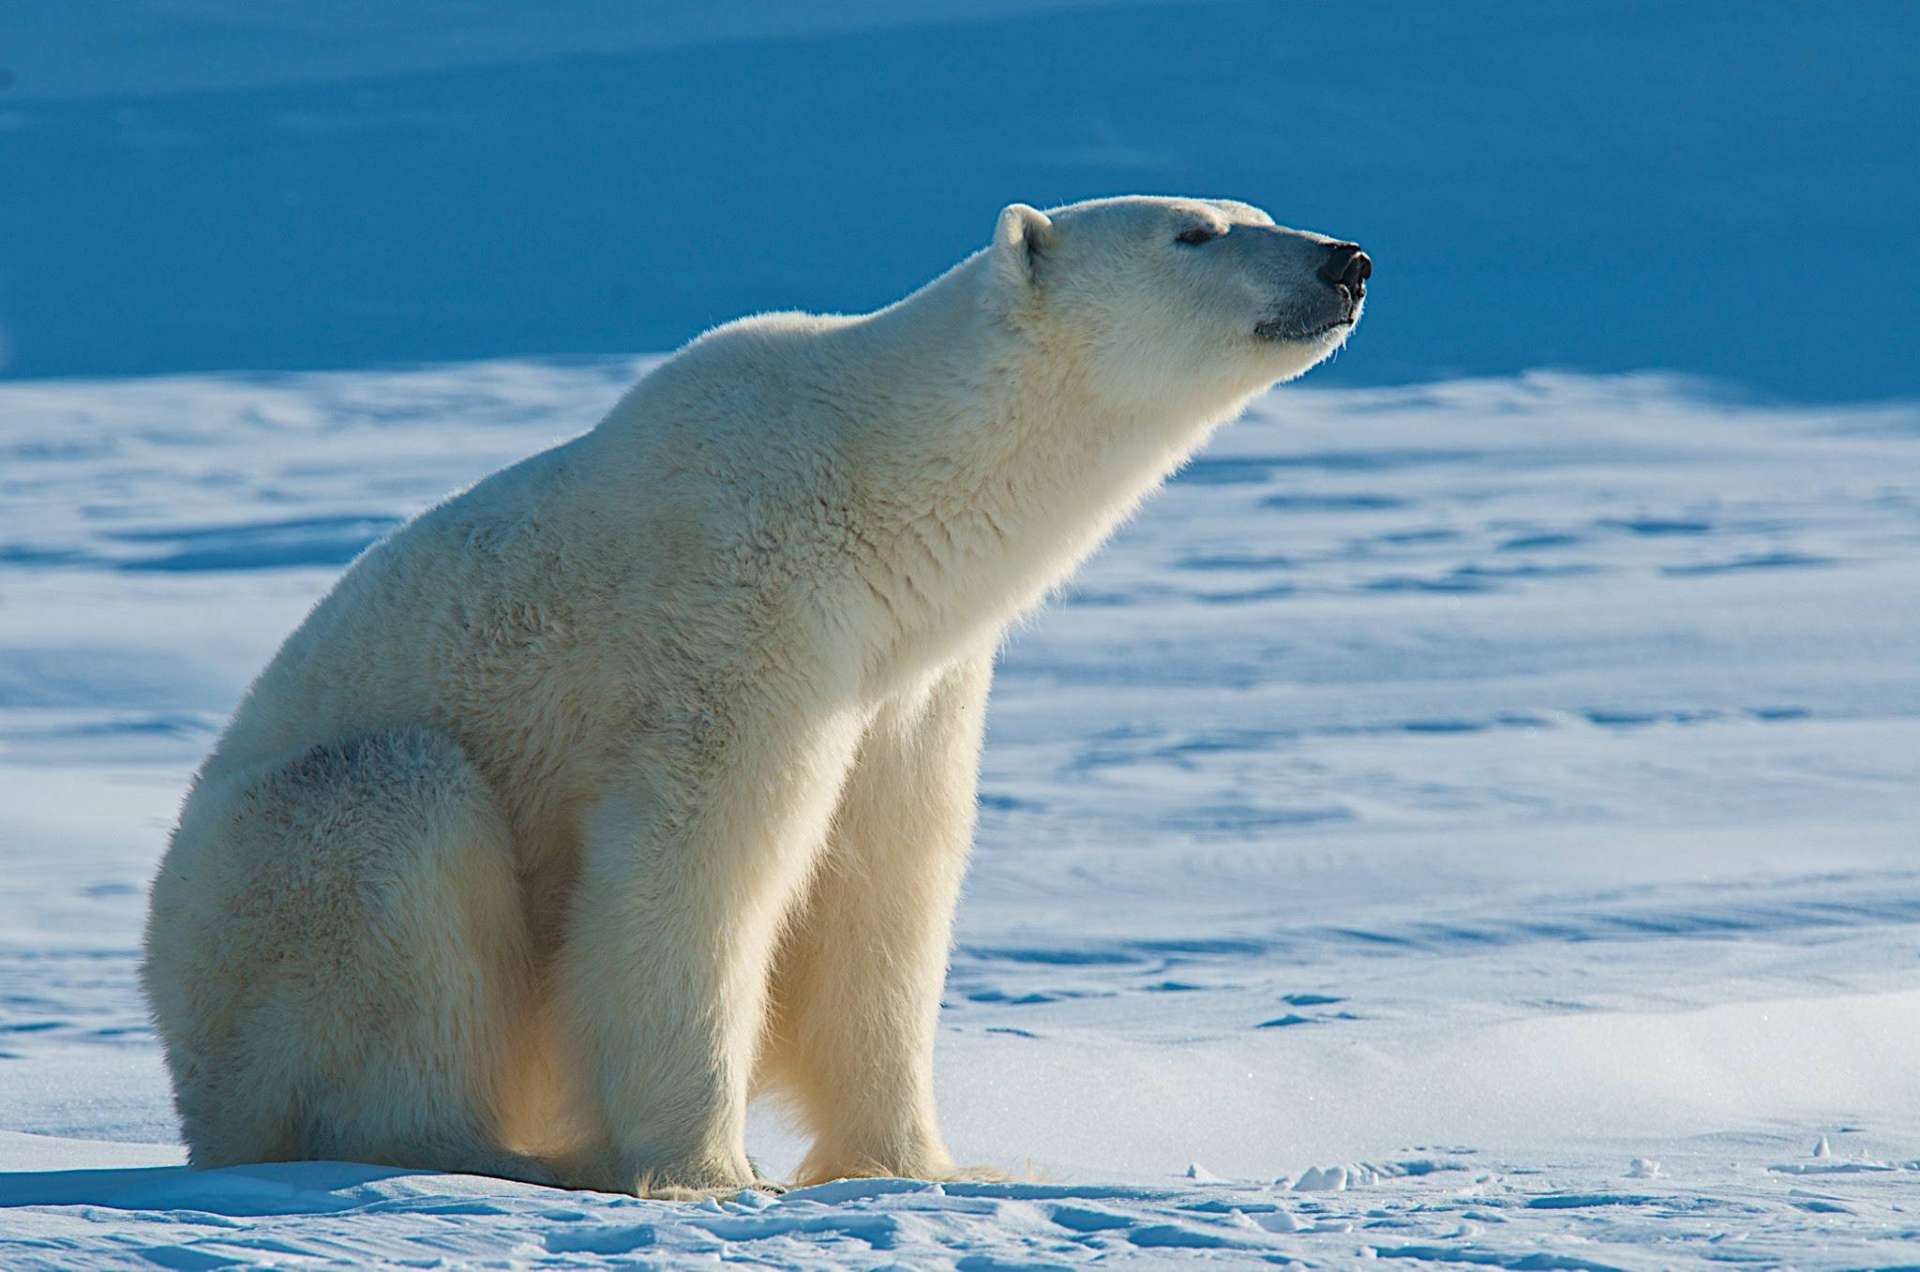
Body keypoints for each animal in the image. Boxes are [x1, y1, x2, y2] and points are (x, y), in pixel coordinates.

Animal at [142, 194, 1367, 1198]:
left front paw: (926, 1163)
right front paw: (707, 1171)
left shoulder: (907, 682)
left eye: (1259, 210)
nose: (1345, 260)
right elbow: (693, 867)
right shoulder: (743, 612)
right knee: (398, 813)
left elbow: (886, 884)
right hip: (257, 910)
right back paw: (483, 1152)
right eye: (1196, 233)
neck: (877, 480)